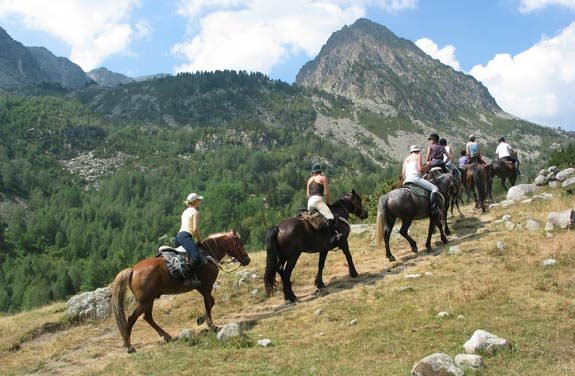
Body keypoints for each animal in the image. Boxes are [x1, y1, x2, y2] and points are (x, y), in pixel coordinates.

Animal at [111, 231, 249, 354]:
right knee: (131, 318)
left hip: (149, 300)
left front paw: (202, 320)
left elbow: (210, 302)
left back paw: (165, 336)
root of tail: (133, 270)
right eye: (239, 244)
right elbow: (209, 302)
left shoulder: (201, 287)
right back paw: (129, 346)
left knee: (147, 317)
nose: (247, 259)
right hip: (145, 301)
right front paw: (210, 324)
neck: (208, 254)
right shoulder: (206, 285)